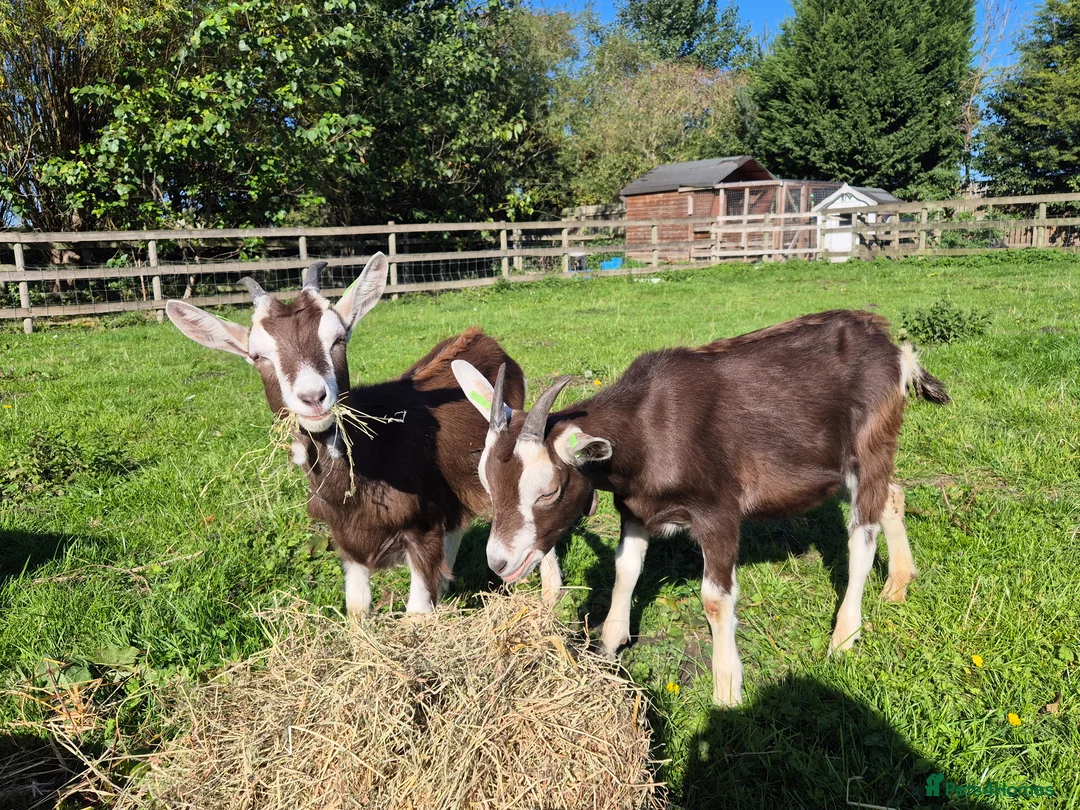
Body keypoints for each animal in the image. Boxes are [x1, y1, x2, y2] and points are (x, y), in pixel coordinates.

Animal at [165, 254, 559, 616]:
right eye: (257, 356)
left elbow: (416, 612)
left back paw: (552, 597)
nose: (313, 397)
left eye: (338, 339)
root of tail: (483, 337)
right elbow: (357, 607)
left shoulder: (421, 530)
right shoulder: (347, 542)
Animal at [452, 310, 949, 705]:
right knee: (893, 496)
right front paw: (608, 646)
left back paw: (845, 636)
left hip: (868, 446)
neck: (650, 425)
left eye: (549, 491)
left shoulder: (719, 512)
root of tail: (897, 351)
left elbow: (715, 598)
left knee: (861, 536)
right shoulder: (636, 509)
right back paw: (898, 584)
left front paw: (727, 689)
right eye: (487, 483)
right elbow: (625, 570)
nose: (499, 562)